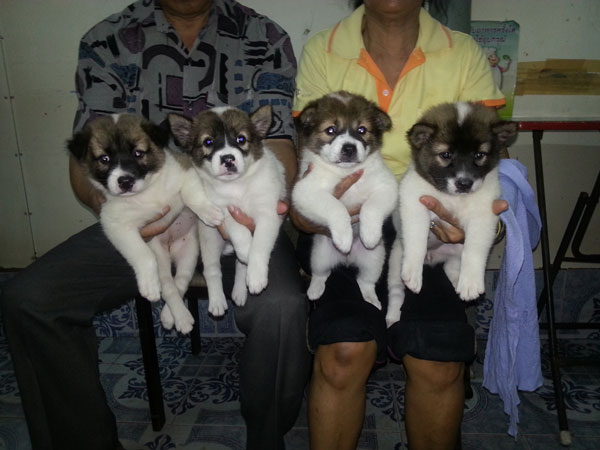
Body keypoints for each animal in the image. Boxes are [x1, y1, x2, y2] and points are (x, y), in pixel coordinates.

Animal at [68, 114, 222, 334]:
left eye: (138, 153)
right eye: (104, 159)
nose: (125, 181)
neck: (145, 193)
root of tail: (171, 250)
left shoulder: (186, 171)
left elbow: (191, 195)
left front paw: (208, 212)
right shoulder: (116, 225)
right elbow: (143, 254)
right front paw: (149, 285)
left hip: (189, 253)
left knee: (181, 281)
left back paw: (172, 316)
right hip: (162, 258)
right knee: (168, 286)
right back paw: (178, 317)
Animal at [167, 105, 286, 316]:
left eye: (241, 139)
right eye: (208, 142)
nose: (228, 159)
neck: (237, 185)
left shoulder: (268, 214)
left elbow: (259, 245)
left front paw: (256, 275)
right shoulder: (224, 211)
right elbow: (239, 232)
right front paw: (246, 248)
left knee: (240, 265)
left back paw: (240, 290)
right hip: (210, 239)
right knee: (212, 270)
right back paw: (217, 301)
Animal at [292, 91, 398, 309]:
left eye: (362, 130)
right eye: (330, 130)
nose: (349, 148)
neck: (344, 172)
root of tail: (348, 260)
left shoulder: (387, 187)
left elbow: (371, 208)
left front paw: (370, 234)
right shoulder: (305, 191)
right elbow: (336, 207)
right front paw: (344, 237)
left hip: (376, 259)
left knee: (364, 281)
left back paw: (371, 298)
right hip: (319, 255)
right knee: (321, 274)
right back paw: (314, 290)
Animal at [386, 102, 518, 327]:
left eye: (479, 155)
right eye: (446, 155)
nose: (464, 183)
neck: (453, 198)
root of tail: (434, 258)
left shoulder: (483, 216)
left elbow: (474, 250)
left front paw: (471, 283)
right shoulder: (415, 203)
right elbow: (417, 241)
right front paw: (414, 271)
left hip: (456, 250)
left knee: (453, 267)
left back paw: (460, 283)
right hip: (395, 261)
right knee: (396, 292)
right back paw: (393, 316)